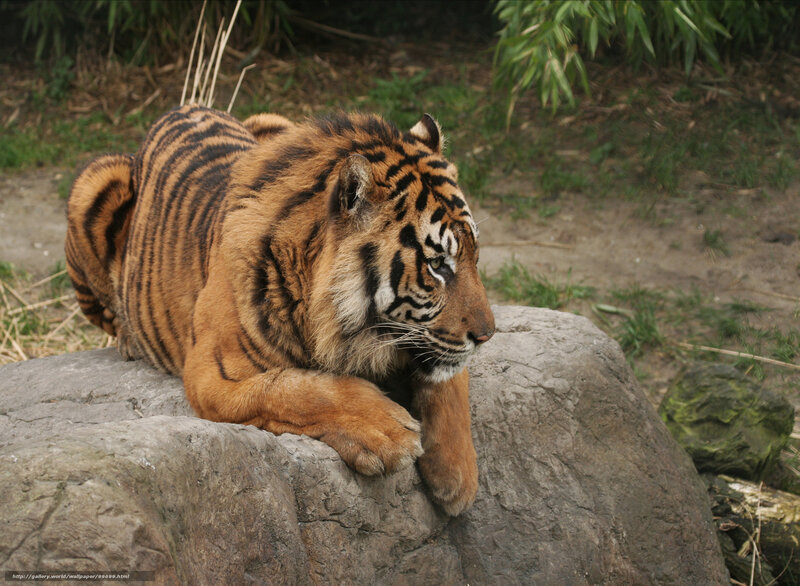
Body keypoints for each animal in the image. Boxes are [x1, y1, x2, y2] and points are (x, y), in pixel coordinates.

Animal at [65, 104, 495, 516]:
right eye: (437, 264)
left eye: (474, 255)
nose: (487, 335)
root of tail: (180, 108)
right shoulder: (211, 373)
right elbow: (295, 388)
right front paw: (387, 431)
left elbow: (450, 382)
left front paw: (458, 476)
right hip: (93, 181)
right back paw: (128, 340)